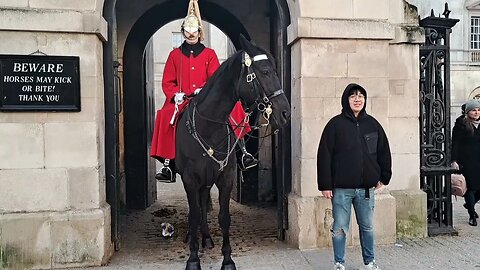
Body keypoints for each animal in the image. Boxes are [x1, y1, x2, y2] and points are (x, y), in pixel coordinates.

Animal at [174, 34, 290, 270]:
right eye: (265, 71)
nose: (285, 112)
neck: (209, 126)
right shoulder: (190, 179)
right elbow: (193, 214)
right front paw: (193, 258)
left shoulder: (225, 178)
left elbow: (224, 217)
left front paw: (227, 259)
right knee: (196, 208)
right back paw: (193, 237)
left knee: (203, 203)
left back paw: (206, 237)